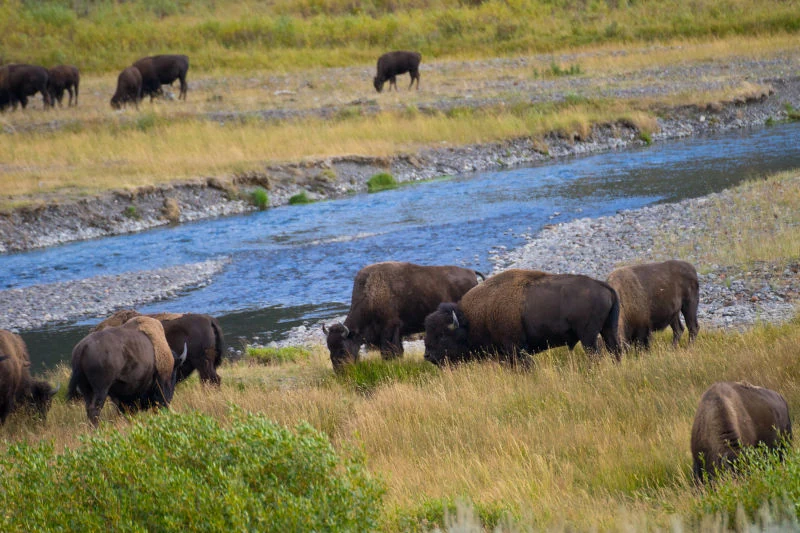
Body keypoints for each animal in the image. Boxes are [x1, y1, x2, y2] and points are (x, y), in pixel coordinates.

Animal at [323, 262, 483, 370]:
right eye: (329, 348)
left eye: (342, 348)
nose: (340, 370)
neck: (371, 293)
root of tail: (471, 272)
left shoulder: (389, 329)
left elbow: (390, 352)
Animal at [424, 269, 621, 366]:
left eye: (442, 335)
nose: (427, 356)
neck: (472, 320)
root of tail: (603, 286)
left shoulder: (516, 349)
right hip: (608, 329)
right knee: (615, 351)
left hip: (588, 337)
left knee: (596, 355)